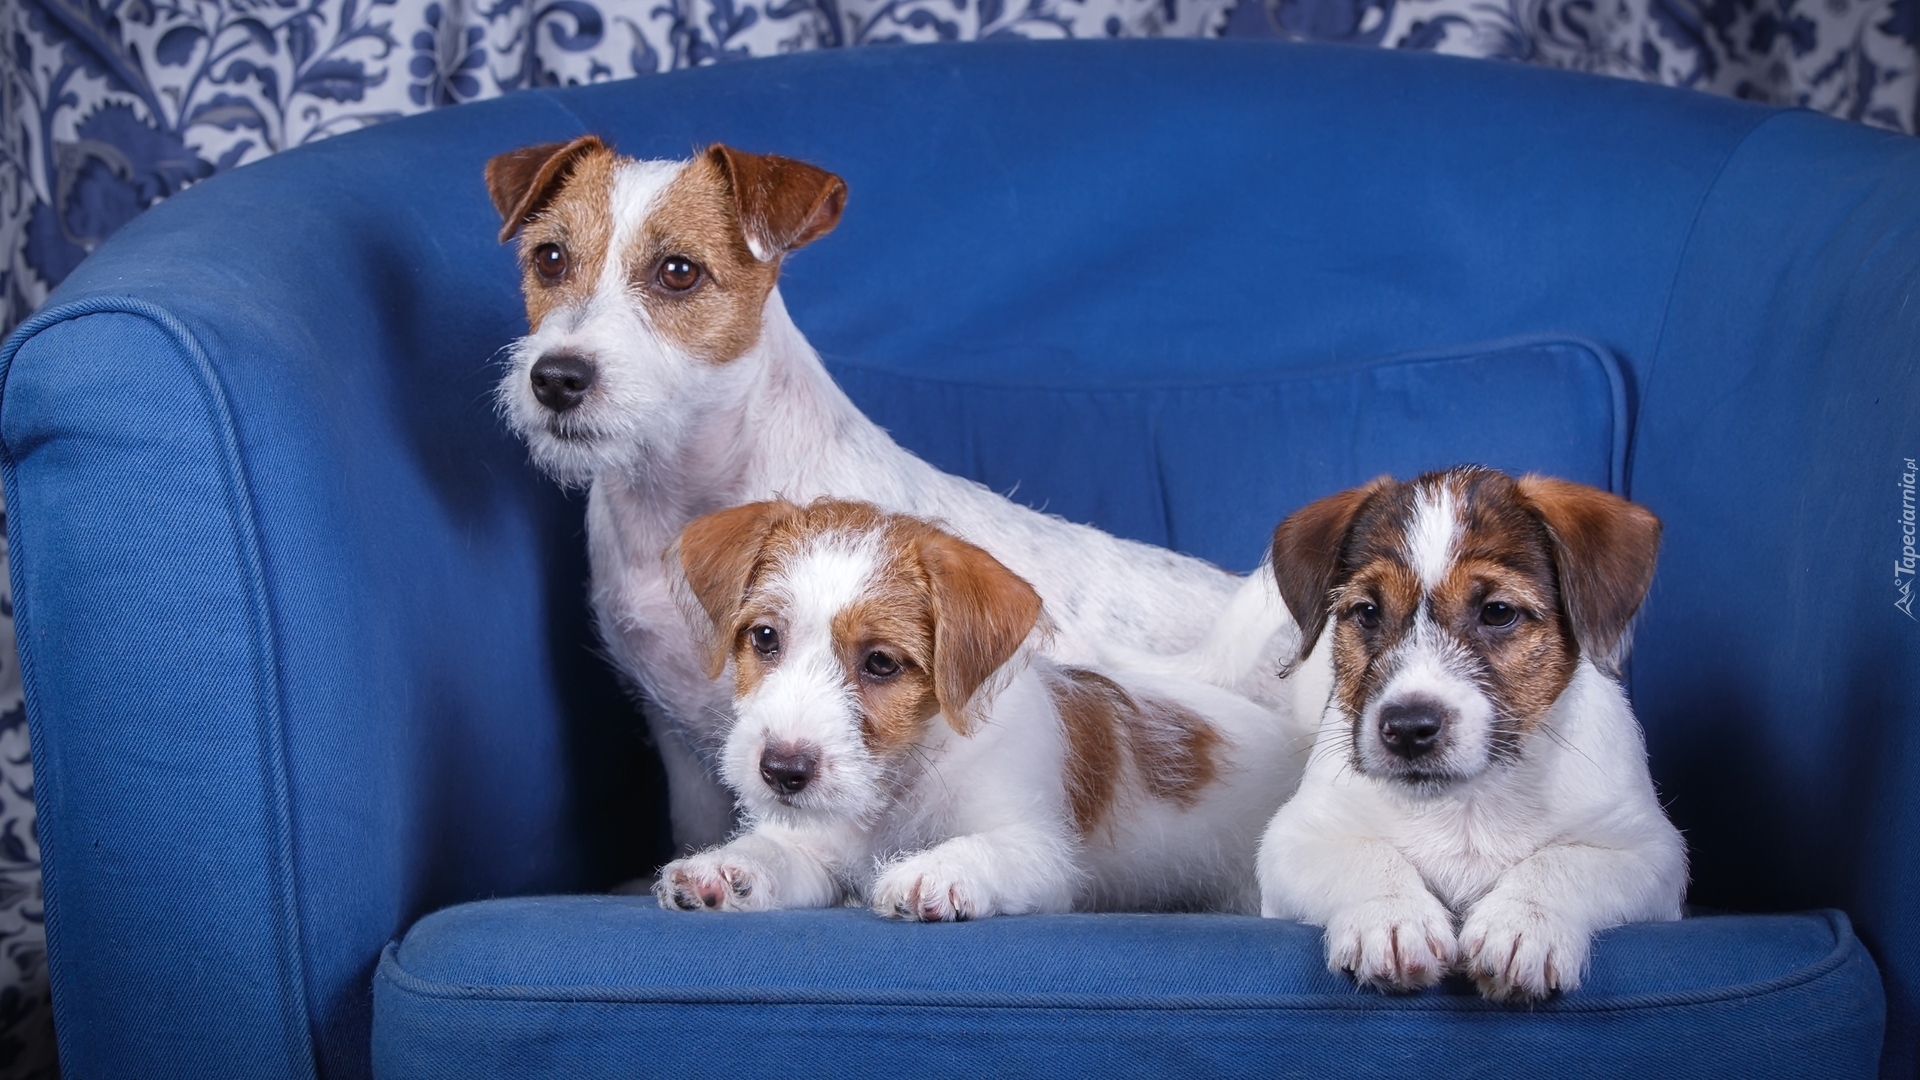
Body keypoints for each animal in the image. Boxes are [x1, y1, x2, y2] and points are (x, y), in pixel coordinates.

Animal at [652, 499, 1297, 914]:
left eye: (881, 663)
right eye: (765, 638)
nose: (783, 771)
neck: (902, 780)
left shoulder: (1039, 851)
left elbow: (987, 847)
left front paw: (938, 870)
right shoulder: (813, 846)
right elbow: (774, 851)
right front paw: (723, 867)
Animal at [1259, 463, 1681, 999]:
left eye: (1498, 612)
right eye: (1367, 612)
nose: (1408, 728)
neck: (1467, 804)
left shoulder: (1651, 855)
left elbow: (1564, 862)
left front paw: (1522, 924)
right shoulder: (1291, 841)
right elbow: (1363, 857)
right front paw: (1392, 919)